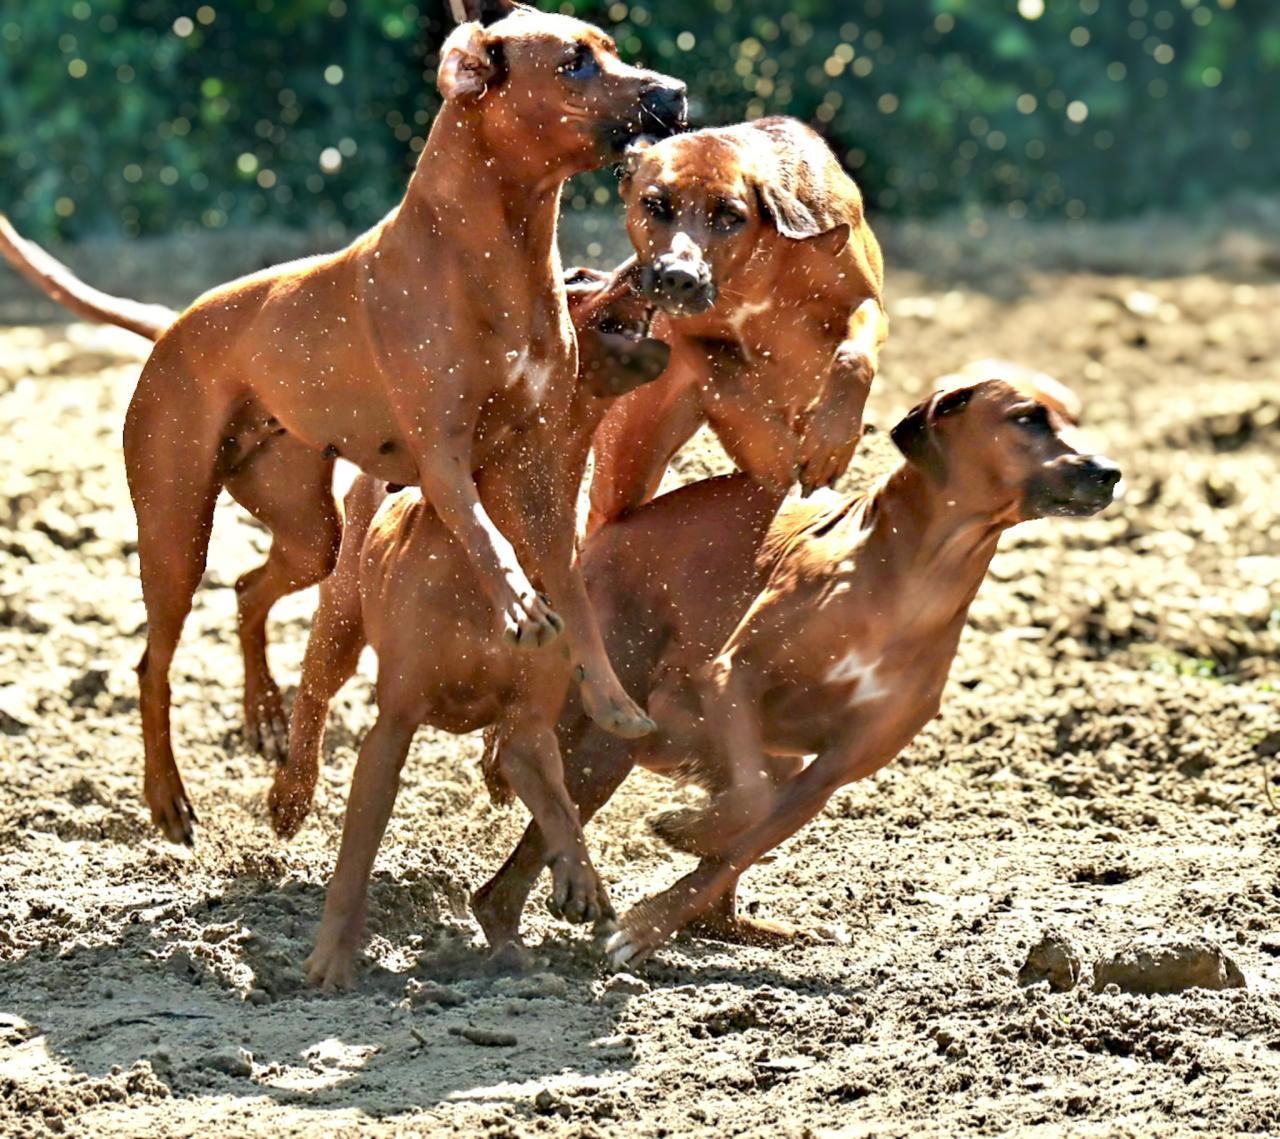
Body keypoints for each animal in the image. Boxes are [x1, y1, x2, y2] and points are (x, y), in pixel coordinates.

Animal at [51, 0, 686, 839]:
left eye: (610, 50)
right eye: (574, 62)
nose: (676, 93)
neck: (493, 251)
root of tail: (173, 325)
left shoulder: (544, 467)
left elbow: (574, 593)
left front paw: (608, 698)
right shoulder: (444, 456)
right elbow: (485, 538)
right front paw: (517, 602)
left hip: (306, 526)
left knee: (250, 589)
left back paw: (265, 714)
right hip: (174, 525)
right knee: (154, 661)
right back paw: (167, 796)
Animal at [471, 378, 1121, 957]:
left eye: (1073, 419)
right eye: (1026, 419)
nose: (1110, 471)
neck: (914, 584)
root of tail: (618, 524)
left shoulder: (829, 773)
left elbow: (740, 840)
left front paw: (654, 920)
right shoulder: (733, 675)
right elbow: (749, 802)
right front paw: (681, 832)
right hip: (609, 735)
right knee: (526, 828)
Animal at [586, 117, 885, 527]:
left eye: (731, 216)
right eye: (655, 204)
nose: (679, 277)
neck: (757, 265)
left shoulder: (862, 300)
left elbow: (853, 357)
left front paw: (830, 442)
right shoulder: (687, 331)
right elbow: (723, 378)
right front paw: (769, 450)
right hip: (627, 461)